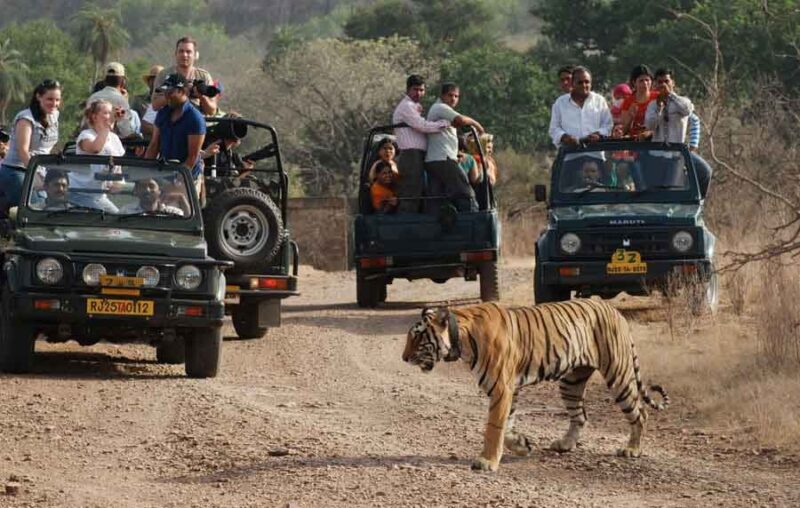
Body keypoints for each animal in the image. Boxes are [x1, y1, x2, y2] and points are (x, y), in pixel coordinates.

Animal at [401, 299, 668, 472]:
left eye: (417, 337)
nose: (404, 358)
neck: (461, 339)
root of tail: (615, 311)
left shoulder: (501, 388)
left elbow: (494, 427)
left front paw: (487, 461)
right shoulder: (509, 389)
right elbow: (506, 426)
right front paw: (522, 445)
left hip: (618, 374)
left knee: (640, 413)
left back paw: (632, 449)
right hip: (571, 381)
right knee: (580, 416)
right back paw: (565, 444)